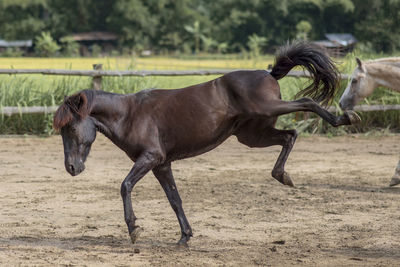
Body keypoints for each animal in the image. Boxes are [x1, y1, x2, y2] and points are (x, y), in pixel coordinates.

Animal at [52, 42, 360, 247]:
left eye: (70, 127)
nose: (71, 168)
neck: (130, 114)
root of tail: (269, 73)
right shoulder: (161, 164)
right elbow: (174, 199)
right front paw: (184, 238)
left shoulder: (150, 158)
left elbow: (125, 185)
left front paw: (134, 230)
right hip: (251, 136)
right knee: (290, 135)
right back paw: (283, 176)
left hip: (267, 109)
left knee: (306, 103)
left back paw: (345, 118)